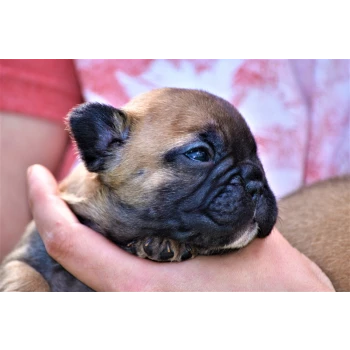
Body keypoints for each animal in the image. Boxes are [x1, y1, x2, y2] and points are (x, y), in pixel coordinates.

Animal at [0, 87, 278, 292]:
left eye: (256, 157)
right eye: (199, 154)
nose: (256, 180)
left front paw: (163, 243)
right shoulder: (22, 256)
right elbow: (28, 276)